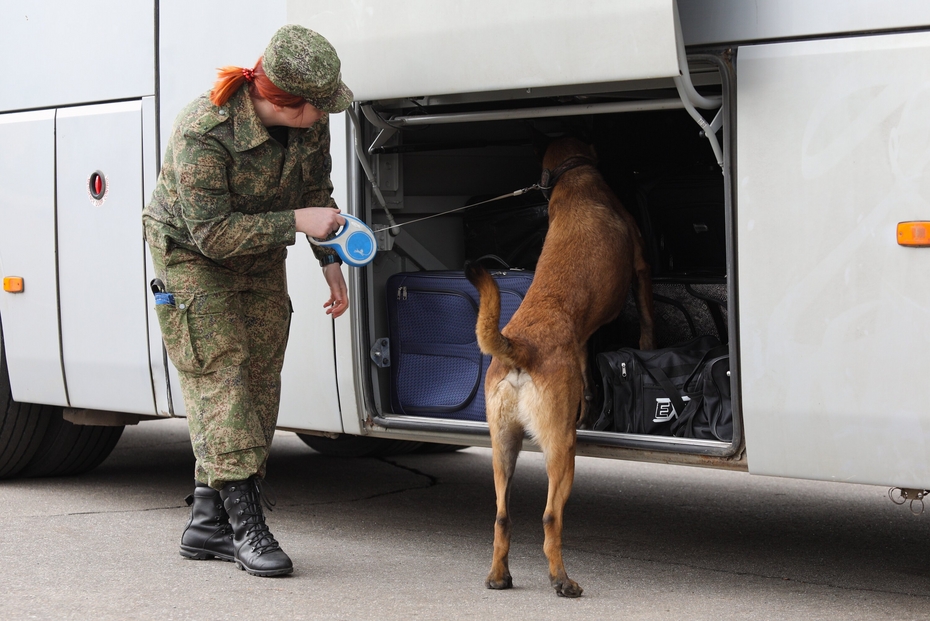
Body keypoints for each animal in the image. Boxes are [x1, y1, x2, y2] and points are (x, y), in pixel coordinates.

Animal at [464, 137, 652, 596]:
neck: (575, 178)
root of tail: (519, 349)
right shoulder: (640, 267)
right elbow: (648, 319)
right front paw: (650, 344)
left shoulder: (582, 343)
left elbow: (588, 374)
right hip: (561, 449)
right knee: (551, 517)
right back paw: (561, 579)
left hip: (503, 449)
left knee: (501, 517)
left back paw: (499, 576)